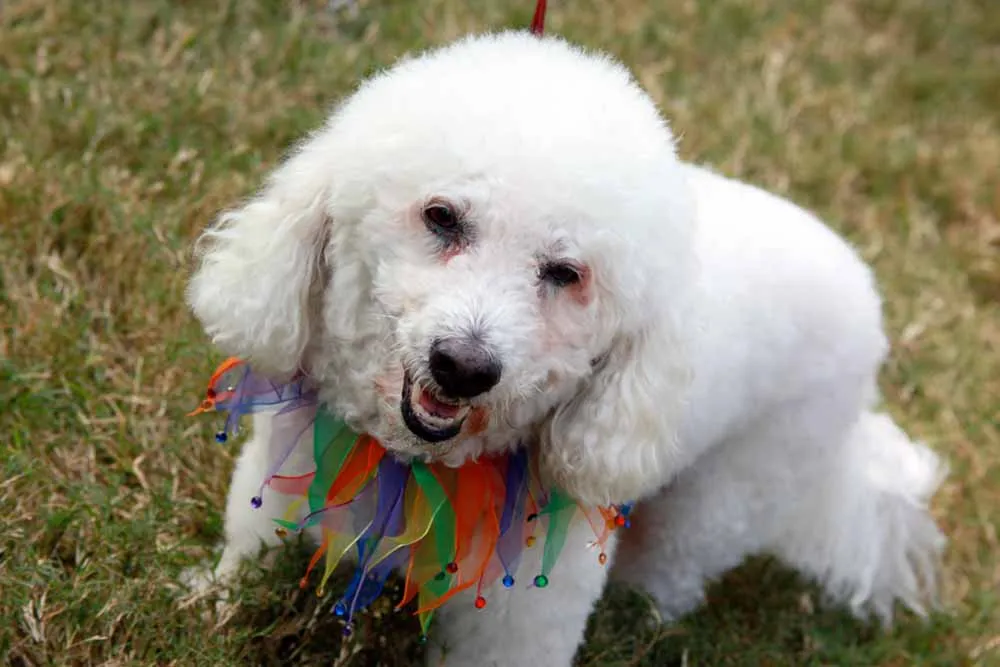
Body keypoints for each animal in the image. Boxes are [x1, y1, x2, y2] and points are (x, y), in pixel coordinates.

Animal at [185, 32, 945, 666]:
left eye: (565, 273)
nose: (463, 367)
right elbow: (250, 553)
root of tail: (865, 290)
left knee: (678, 562)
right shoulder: (285, 476)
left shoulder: (522, 609)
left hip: (737, 487)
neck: (419, 462)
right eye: (441, 217)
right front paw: (211, 604)